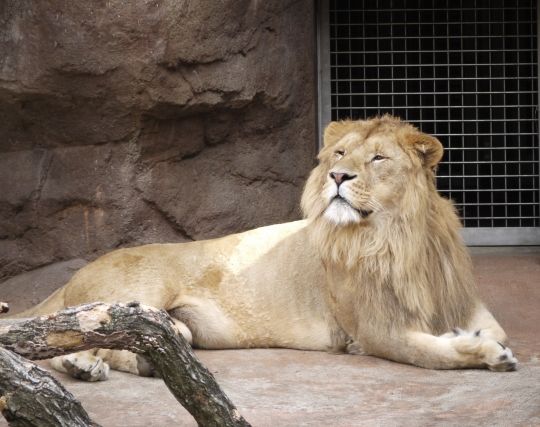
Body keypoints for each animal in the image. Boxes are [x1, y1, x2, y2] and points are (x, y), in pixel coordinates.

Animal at [7, 114, 516, 382]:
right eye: (339, 154)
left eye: (377, 158)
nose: (338, 176)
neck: (395, 238)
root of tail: (78, 273)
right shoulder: (373, 330)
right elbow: (430, 354)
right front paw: (484, 354)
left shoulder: (463, 303)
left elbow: (494, 331)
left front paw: (477, 340)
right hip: (129, 303)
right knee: (67, 341)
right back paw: (82, 365)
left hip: (170, 326)